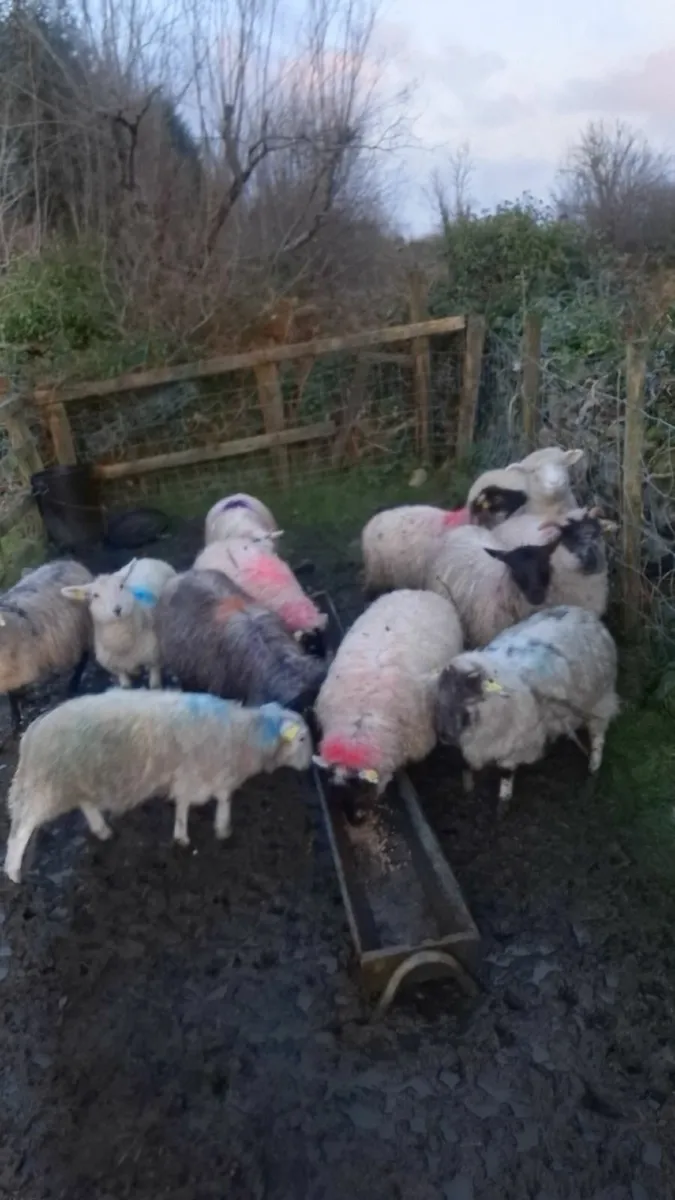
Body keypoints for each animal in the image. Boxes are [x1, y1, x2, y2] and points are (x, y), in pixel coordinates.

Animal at [0, 559, 93, 737]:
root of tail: (71, 563)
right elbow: (12, 696)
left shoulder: (21, 670)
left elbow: (15, 695)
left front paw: (18, 721)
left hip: (83, 633)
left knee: (83, 659)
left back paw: (72, 686)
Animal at [4, 689, 312, 881]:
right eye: (301, 739)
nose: (310, 765)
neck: (245, 734)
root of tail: (32, 732)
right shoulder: (201, 773)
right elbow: (213, 799)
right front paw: (209, 831)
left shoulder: (197, 774)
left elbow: (199, 801)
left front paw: (198, 831)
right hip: (44, 785)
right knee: (21, 829)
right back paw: (13, 871)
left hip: (79, 780)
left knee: (86, 805)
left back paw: (102, 830)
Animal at [62, 557, 177, 688]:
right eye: (95, 595)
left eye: (121, 586)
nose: (117, 609)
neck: (124, 645)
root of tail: (148, 559)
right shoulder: (117, 669)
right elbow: (126, 686)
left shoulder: (155, 658)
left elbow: (155, 685)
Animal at [434, 605, 619, 814]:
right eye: (440, 697)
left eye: (465, 694)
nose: (443, 735)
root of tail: (584, 613)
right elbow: (466, 769)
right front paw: (468, 790)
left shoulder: (514, 745)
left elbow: (506, 775)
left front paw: (502, 806)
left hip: (601, 701)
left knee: (598, 736)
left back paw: (593, 767)